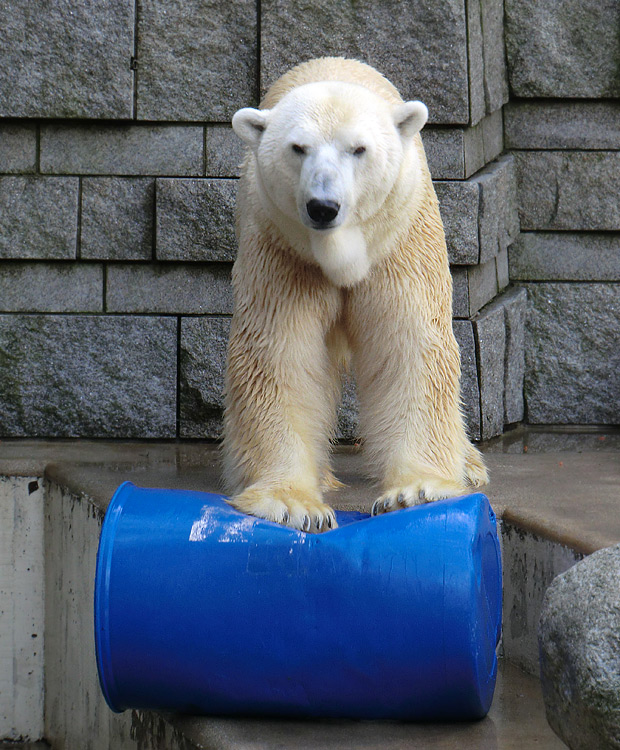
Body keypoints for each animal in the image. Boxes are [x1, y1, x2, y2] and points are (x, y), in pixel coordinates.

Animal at [223, 57, 490, 536]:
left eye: (359, 149)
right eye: (298, 148)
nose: (322, 206)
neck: (339, 254)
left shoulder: (400, 242)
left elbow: (413, 344)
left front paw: (416, 491)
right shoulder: (282, 250)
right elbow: (278, 354)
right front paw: (293, 503)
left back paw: (470, 465)